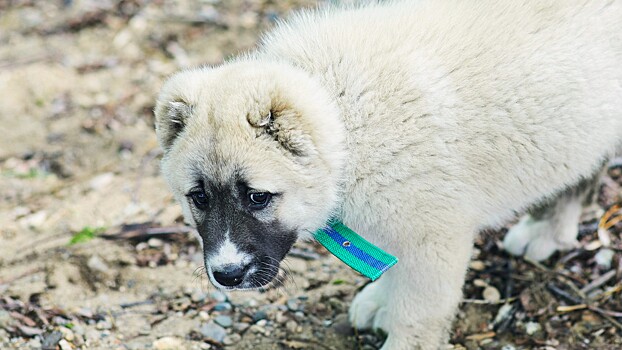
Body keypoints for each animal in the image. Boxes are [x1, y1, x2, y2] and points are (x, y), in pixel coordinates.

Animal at [152, 1, 622, 348]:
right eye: (199, 198)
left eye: (257, 197)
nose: (227, 276)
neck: (346, 115)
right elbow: (395, 271)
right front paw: (381, 301)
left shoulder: (435, 239)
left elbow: (418, 312)